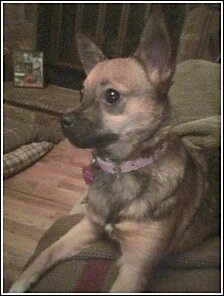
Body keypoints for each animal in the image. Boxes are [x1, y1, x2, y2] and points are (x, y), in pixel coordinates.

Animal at [8, 5, 219, 292]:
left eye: (111, 96)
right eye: (80, 93)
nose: (62, 120)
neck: (123, 168)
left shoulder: (134, 270)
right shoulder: (88, 226)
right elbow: (46, 252)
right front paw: (20, 282)